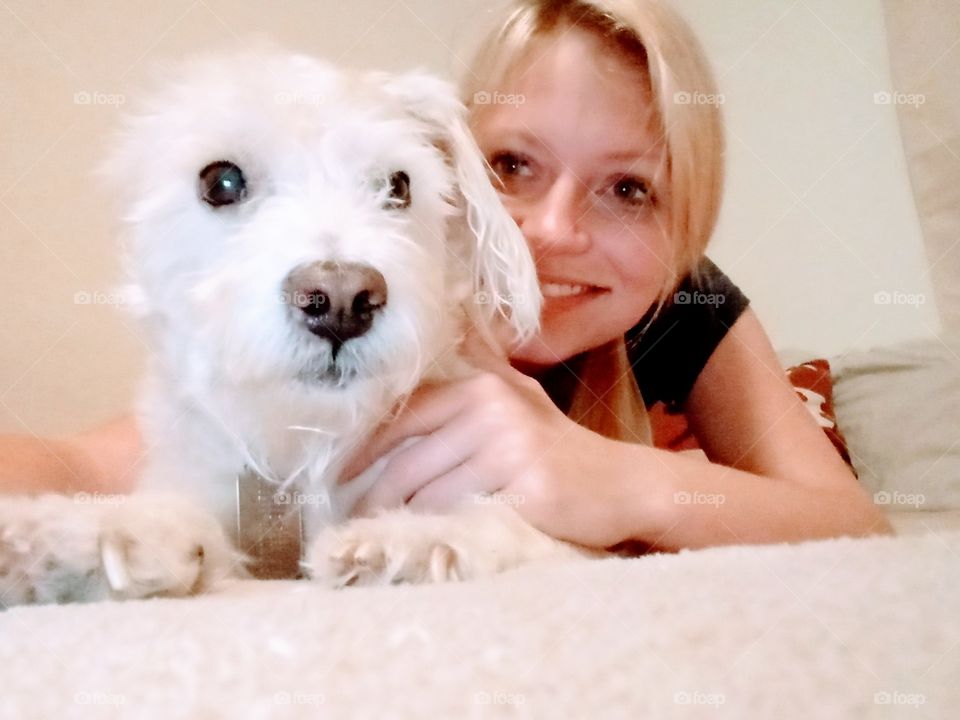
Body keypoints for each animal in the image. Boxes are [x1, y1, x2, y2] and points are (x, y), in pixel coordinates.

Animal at [0, 47, 584, 604]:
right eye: (221, 180)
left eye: (398, 185)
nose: (342, 301)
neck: (301, 441)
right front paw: (71, 536)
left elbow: (504, 526)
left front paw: (407, 541)